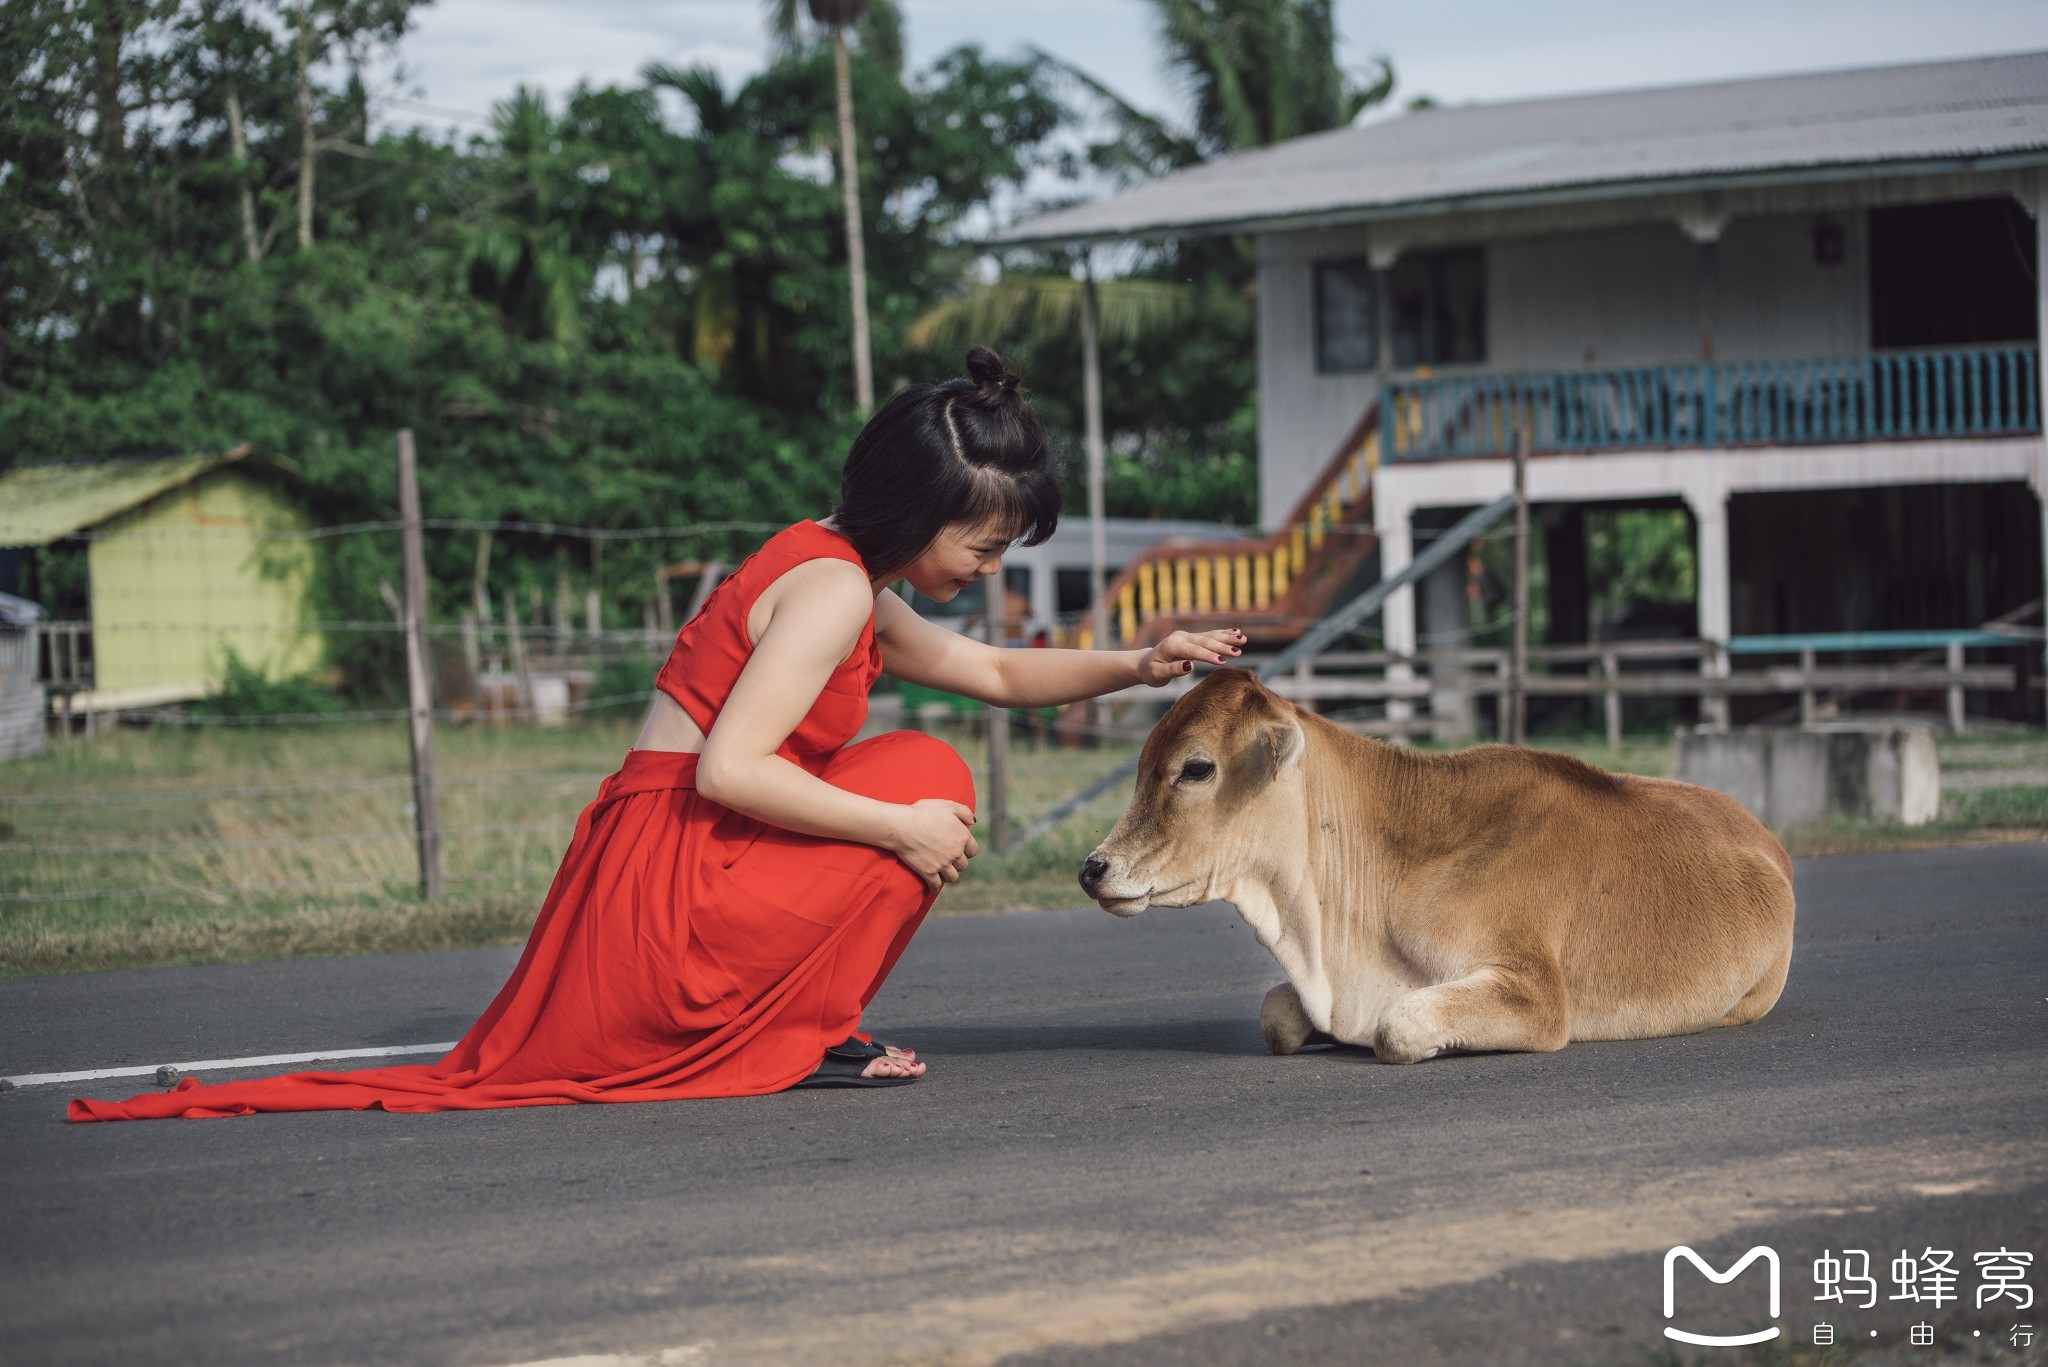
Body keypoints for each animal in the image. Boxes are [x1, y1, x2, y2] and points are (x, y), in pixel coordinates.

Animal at [1073, 668, 1794, 1065]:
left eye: (1196, 768)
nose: (1094, 868)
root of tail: (1768, 839)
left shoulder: (1537, 994)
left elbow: (1398, 1025)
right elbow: (1277, 1017)